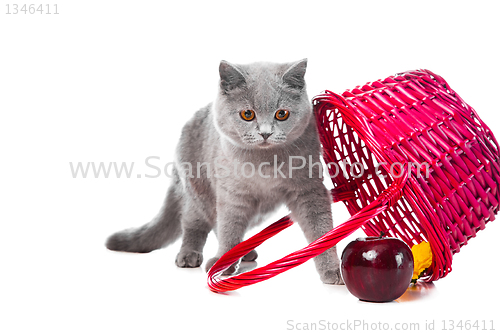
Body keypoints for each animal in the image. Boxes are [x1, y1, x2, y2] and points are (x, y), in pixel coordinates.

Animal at [106, 59, 344, 282]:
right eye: (247, 114)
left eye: (282, 114)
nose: (265, 133)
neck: (265, 164)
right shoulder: (231, 193)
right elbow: (228, 227)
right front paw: (223, 263)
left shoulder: (308, 189)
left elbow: (321, 229)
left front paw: (332, 270)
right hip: (197, 191)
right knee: (195, 223)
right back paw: (190, 255)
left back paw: (244, 253)